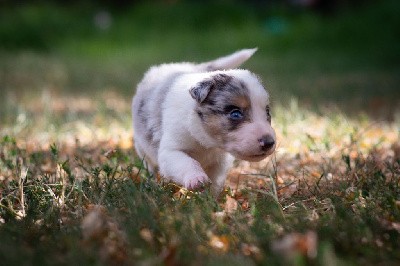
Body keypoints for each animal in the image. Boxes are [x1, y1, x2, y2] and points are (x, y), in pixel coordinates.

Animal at [133, 47, 276, 194]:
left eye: (267, 112)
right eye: (235, 114)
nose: (269, 142)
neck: (207, 142)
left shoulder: (220, 161)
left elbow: (215, 181)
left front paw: (210, 198)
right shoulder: (171, 151)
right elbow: (187, 163)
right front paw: (197, 179)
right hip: (141, 147)